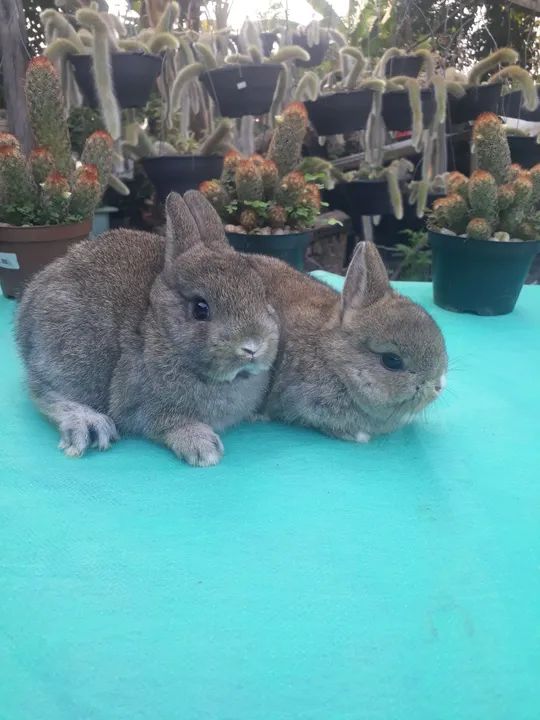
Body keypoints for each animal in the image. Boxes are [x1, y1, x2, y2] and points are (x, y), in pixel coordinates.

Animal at [16, 191, 279, 466]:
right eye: (201, 308)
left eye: (262, 294)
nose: (253, 346)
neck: (160, 330)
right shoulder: (139, 406)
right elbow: (164, 422)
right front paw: (202, 448)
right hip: (73, 358)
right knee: (43, 391)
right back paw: (88, 423)